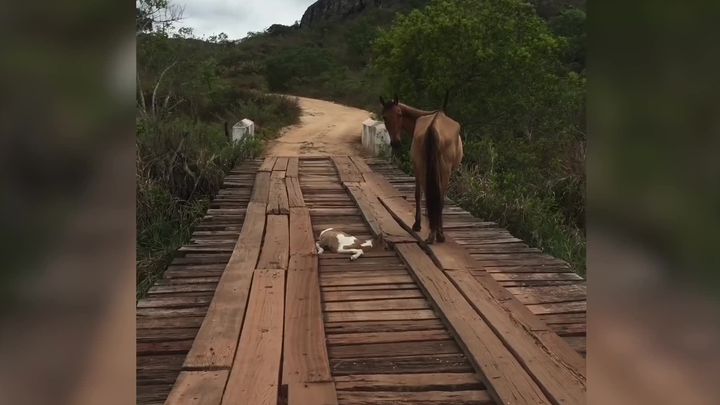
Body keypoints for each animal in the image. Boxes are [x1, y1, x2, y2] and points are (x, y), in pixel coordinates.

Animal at [379, 94, 463, 243]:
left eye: (399, 114)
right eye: (384, 117)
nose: (395, 143)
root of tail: (434, 126)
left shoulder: (417, 167)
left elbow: (419, 194)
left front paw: (418, 224)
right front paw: (423, 225)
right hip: (442, 171)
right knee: (439, 198)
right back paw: (438, 234)